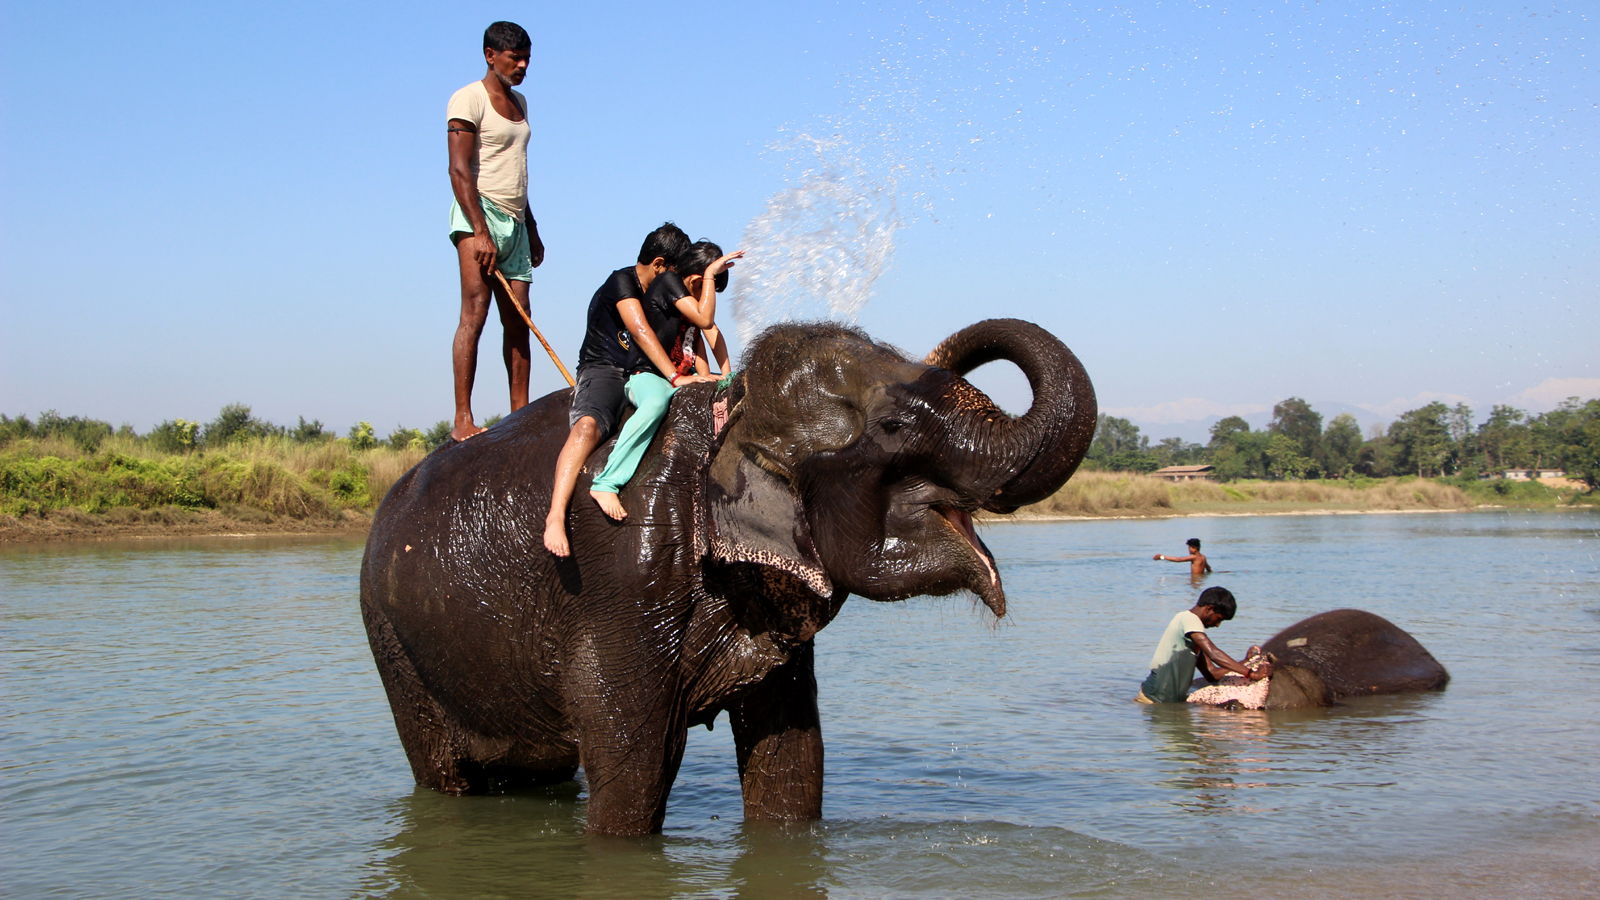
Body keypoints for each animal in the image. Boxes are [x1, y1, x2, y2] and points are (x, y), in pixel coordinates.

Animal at [356, 317, 1094, 832]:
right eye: (890, 425)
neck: (730, 413)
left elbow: (792, 758)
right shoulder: (620, 583)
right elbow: (633, 773)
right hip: (391, 642)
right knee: (443, 770)